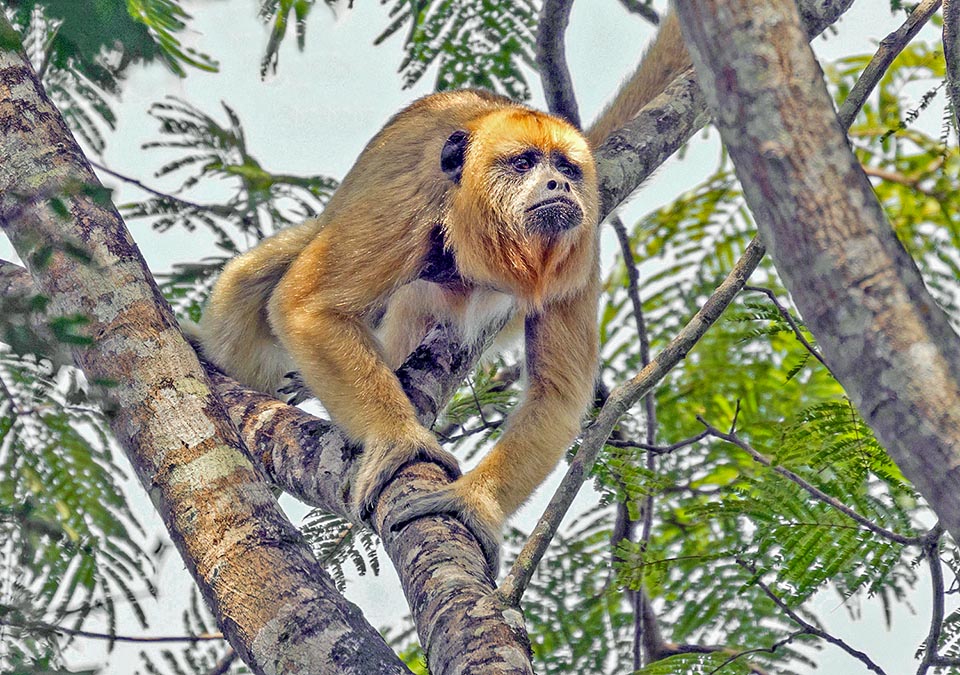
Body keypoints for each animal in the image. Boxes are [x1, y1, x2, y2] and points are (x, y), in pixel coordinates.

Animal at [199, 11, 688, 572]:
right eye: (524, 163)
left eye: (565, 167)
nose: (560, 186)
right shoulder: (407, 204)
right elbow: (306, 307)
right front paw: (399, 441)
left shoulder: (579, 255)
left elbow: (558, 393)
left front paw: (474, 502)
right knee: (265, 270)